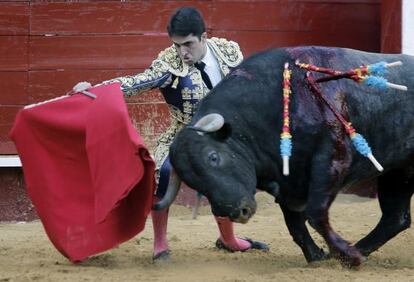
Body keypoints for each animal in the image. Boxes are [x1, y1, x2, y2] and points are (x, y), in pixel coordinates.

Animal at [170, 47, 412, 268]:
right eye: (192, 181)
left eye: (213, 157)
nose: (237, 213)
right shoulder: (287, 181)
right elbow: (294, 223)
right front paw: (319, 257)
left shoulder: (333, 160)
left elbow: (315, 213)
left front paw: (345, 255)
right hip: (399, 172)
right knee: (396, 217)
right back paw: (358, 251)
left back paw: (355, 254)